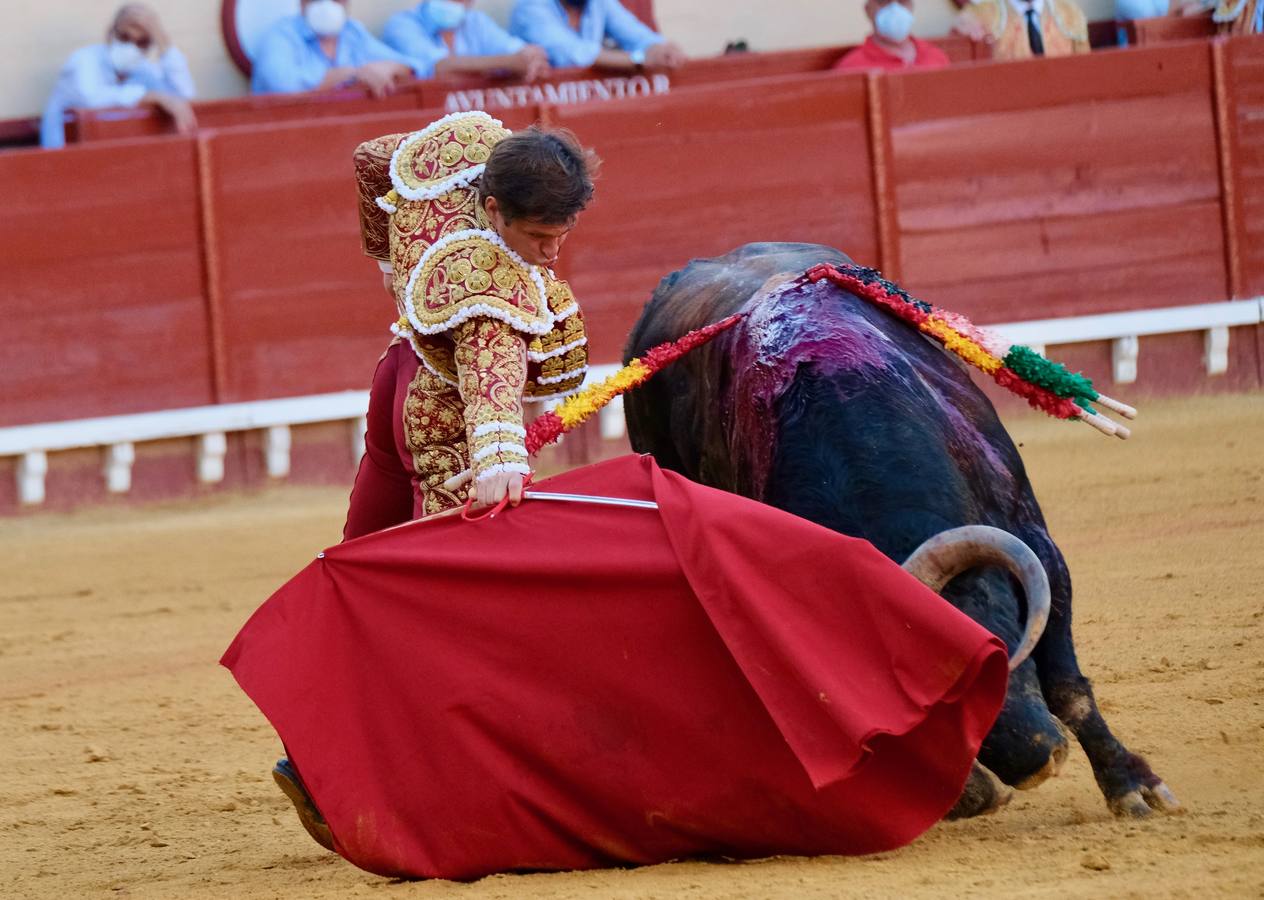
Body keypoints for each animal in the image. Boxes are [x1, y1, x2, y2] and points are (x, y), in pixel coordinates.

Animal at [626, 242, 1178, 819]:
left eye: (993, 650)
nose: (1035, 762)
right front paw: (969, 792)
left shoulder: (1035, 538)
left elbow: (1068, 684)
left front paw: (1132, 786)